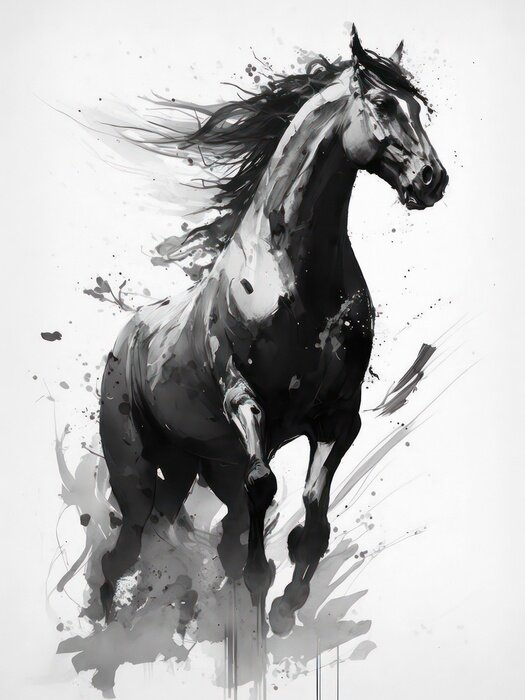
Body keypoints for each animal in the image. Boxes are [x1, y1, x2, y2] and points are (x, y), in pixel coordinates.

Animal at [98, 27, 448, 636]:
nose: (433, 180)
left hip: (195, 464)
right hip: (136, 468)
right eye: (384, 104)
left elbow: (313, 510)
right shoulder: (245, 401)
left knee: (186, 528)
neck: (291, 277)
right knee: (124, 548)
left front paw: (288, 603)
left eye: (420, 109)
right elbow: (265, 488)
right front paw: (263, 583)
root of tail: (129, 334)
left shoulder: (339, 416)